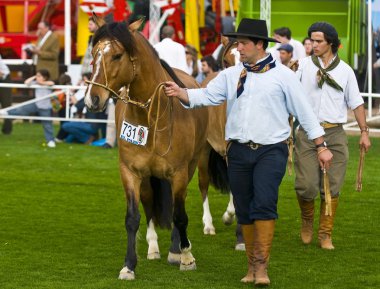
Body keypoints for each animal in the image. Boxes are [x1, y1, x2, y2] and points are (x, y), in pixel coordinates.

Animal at [84, 18, 211, 280]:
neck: (151, 118)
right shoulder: (130, 172)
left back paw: (175, 250)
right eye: (94, 53)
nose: (93, 99)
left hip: (192, 165)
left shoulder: (179, 173)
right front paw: (129, 265)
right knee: (150, 202)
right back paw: (153, 247)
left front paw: (185, 256)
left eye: (117, 55)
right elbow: (133, 217)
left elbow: (179, 215)